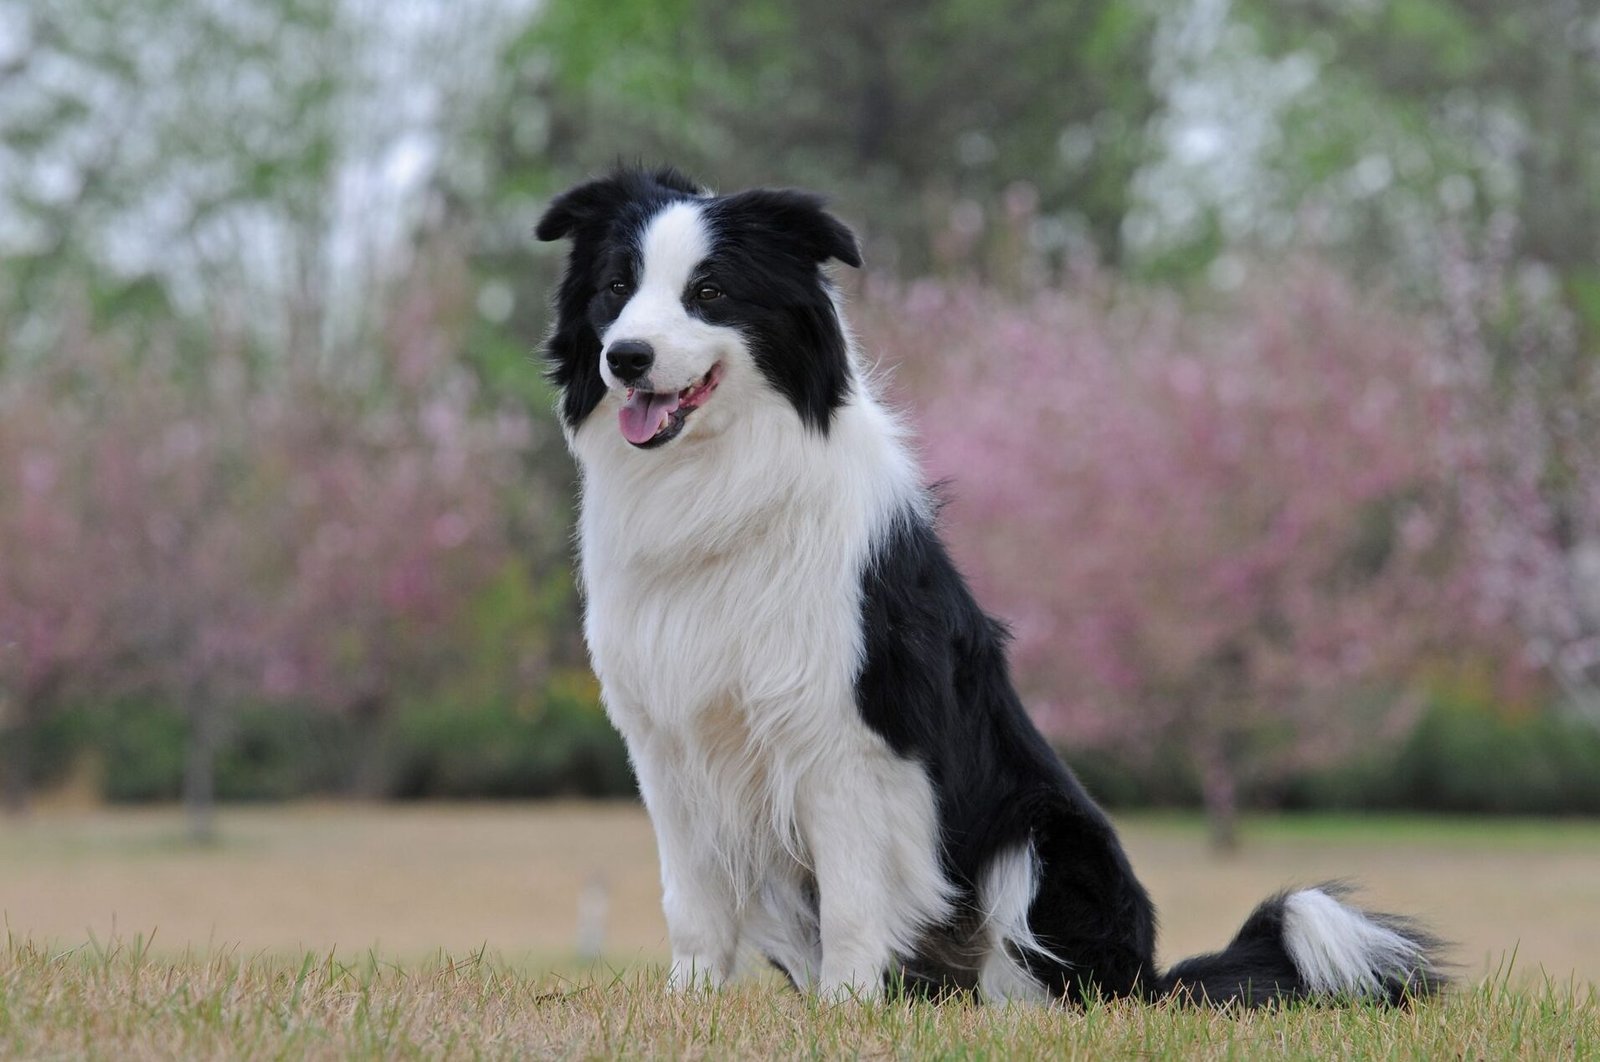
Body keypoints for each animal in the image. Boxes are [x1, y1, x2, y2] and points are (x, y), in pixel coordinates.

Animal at [531, 166, 1446, 1004]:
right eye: (616, 287)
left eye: (710, 291)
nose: (626, 358)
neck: (720, 480)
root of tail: (1149, 977)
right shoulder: (669, 742)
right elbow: (692, 903)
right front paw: (691, 1003)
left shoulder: (846, 739)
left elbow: (855, 902)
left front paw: (844, 1012)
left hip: (1040, 842)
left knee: (1034, 981)